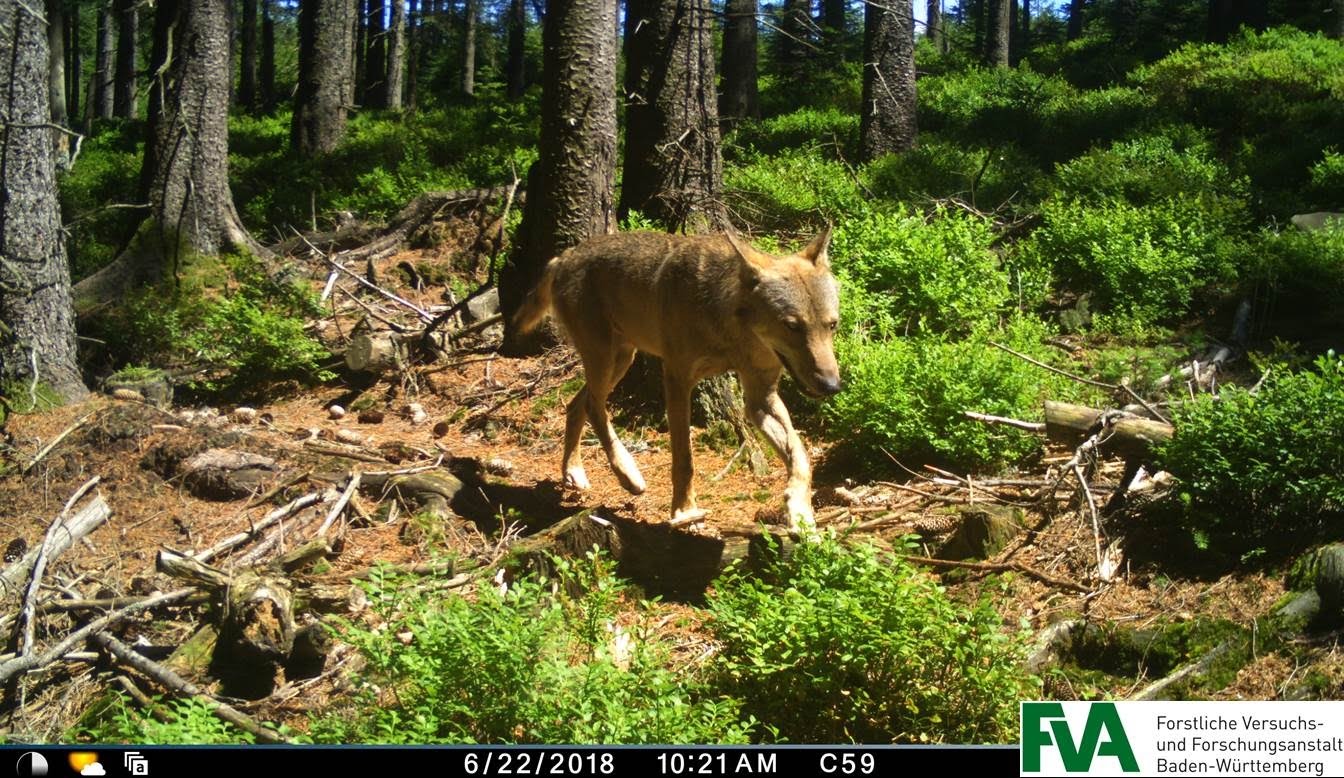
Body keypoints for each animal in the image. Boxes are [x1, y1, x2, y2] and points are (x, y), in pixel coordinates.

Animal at [513, 228, 838, 532]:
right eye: (792, 326)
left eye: (832, 325)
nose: (832, 386)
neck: (729, 331)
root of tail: (563, 257)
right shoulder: (677, 379)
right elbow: (684, 460)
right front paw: (685, 512)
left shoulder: (760, 397)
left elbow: (801, 456)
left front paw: (800, 512)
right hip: (607, 360)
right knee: (594, 407)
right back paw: (628, 474)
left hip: (621, 360)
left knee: (575, 404)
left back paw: (573, 471)